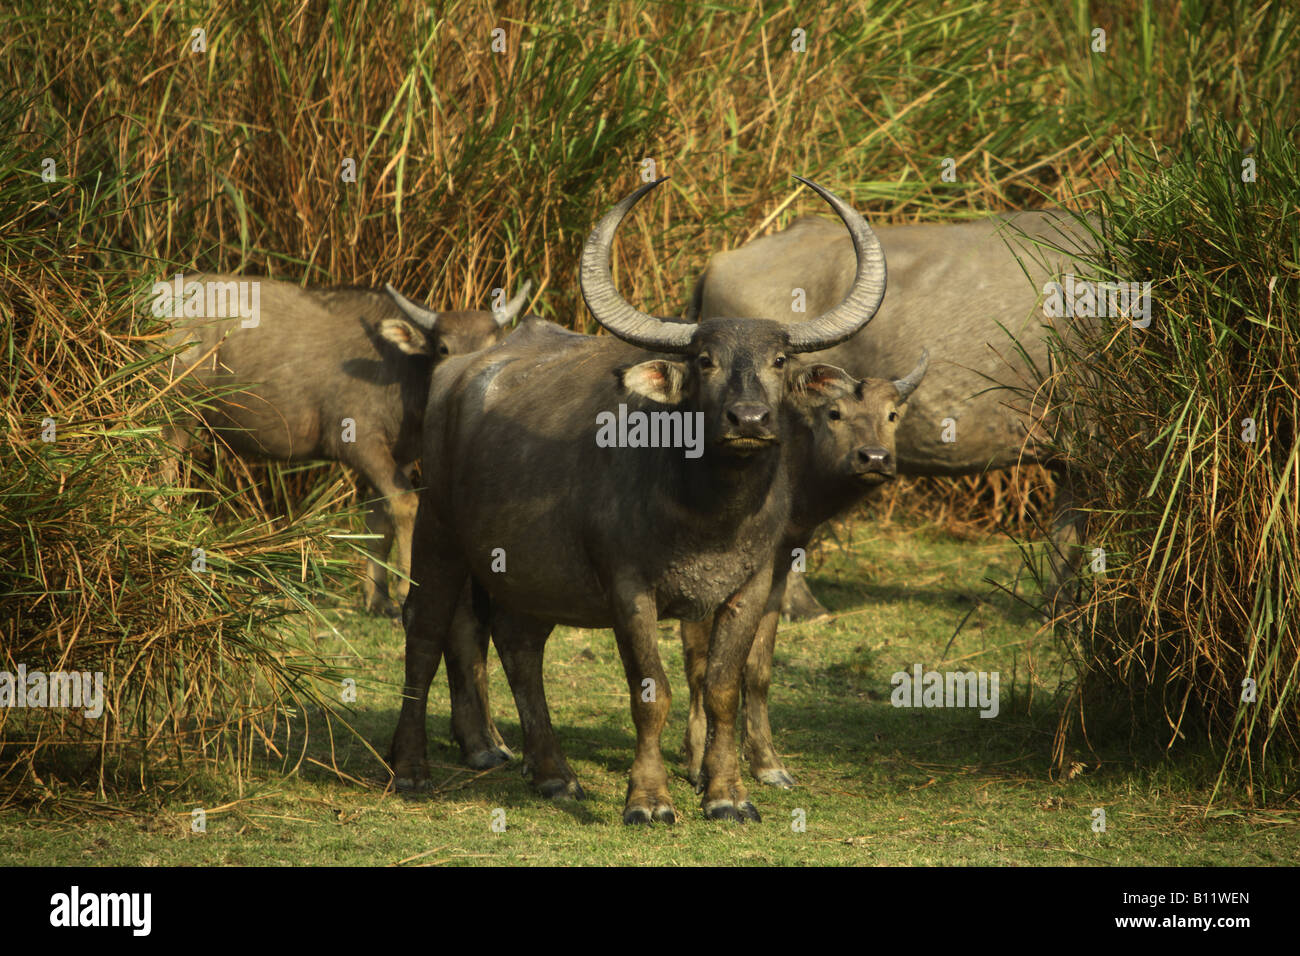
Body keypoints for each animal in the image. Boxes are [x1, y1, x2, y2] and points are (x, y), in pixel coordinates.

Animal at [159, 273, 530, 613]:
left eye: (492, 346)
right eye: (443, 348)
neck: (402, 373)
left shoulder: (401, 455)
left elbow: (379, 520)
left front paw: (376, 598)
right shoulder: (359, 444)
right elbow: (405, 504)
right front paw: (404, 590)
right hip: (176, 412)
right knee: (162, 469)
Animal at [390, 178, 889, 822]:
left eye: (779, 361)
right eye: (704, 360)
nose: (748, 419)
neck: (709, 511)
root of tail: (454, 377)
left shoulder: (751, 584)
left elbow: (722, 686)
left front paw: (727, 794)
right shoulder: (629, 587)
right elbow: (652, 691)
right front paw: (649, 801)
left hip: (528, 571)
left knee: (520, 648)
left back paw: (554, 774)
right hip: (439, 530)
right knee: (425, 634)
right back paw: (411, 767)